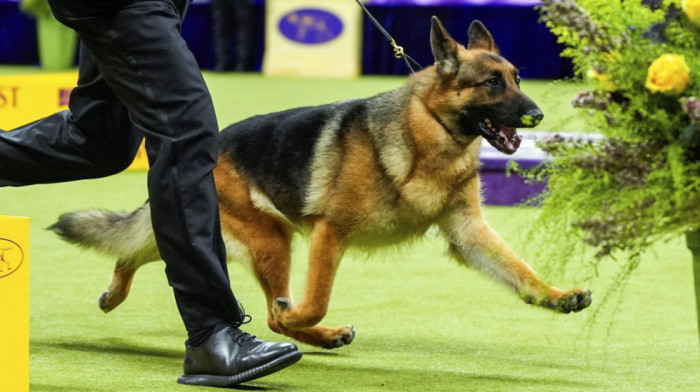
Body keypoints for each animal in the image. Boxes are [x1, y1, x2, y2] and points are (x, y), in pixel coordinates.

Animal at [52, 19, 592, 350]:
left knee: (140, 248)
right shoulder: (330, 233)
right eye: (491, 83)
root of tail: (208, 146)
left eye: (517, 78)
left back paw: (115, 291)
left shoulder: (468, 234)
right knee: (270, 312)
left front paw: (556, 296)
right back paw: (300, 327)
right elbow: (313, 303)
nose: (538, 115)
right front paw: (300, 317)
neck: (427, 136)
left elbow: (520, 270)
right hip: (273, 240)